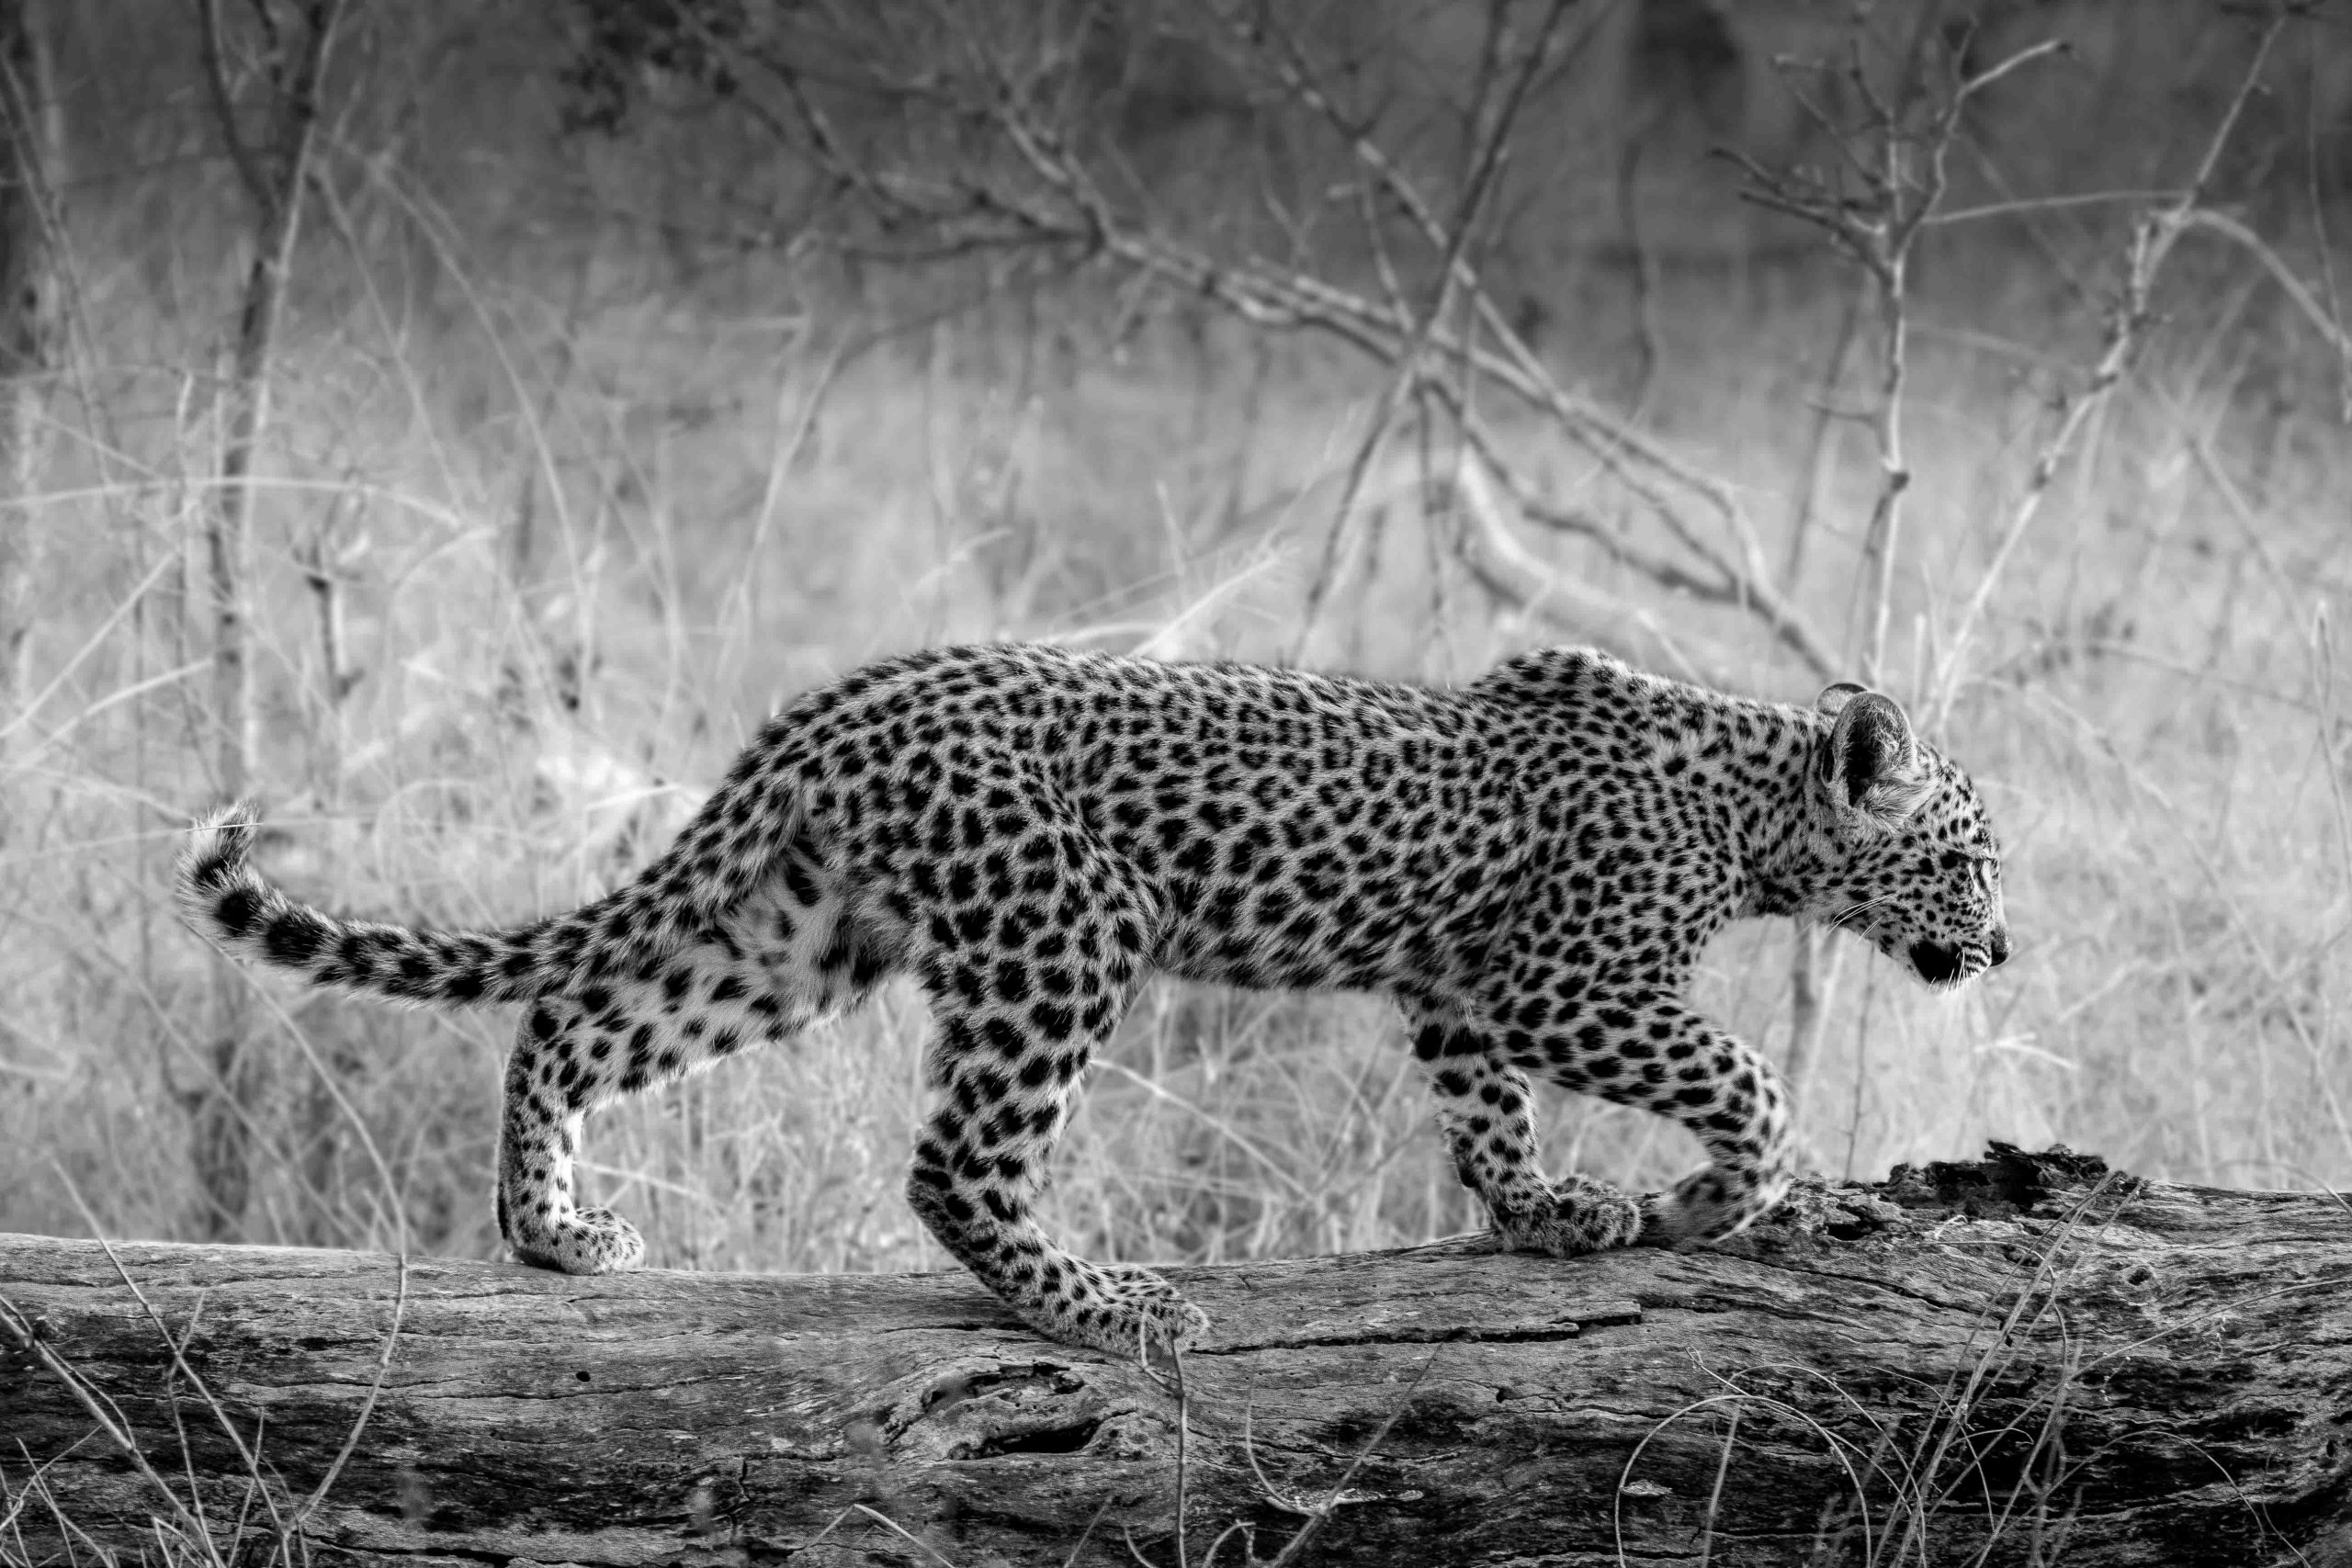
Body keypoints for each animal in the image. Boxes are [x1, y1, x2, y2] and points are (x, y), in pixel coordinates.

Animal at [175, 642, 2009, 1357]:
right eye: (1975, 858)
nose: (1999, 952)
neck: (1763, 803)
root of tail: (848, 699)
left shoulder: (1460, 985)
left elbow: (1483, 1113)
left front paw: (1553, 1212)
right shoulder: (1576, 980)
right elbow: (1753, 1081)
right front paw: (1710, 1195)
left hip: (795, 934)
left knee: (571, 1018)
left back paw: (556, 1232)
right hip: (1068, 925)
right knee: (955, 1162)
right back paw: (1108, 1307)